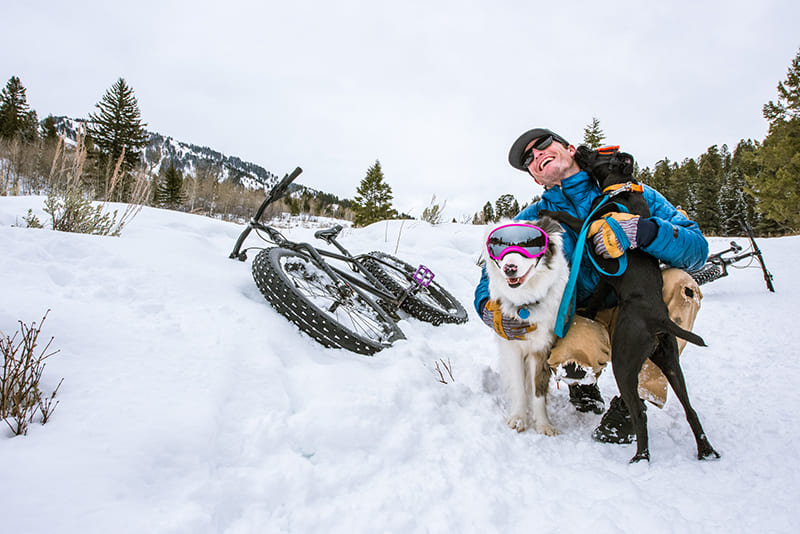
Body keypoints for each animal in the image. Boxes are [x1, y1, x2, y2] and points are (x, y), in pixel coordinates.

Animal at [482, 217, 568, 436]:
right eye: (499, 246)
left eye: (530, 244)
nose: (509, 268)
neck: (525, 304)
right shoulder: (511, 346)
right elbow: (519, 385)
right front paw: (519, 418)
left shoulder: (543, 348)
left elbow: (538, 390)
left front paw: (544, 424)